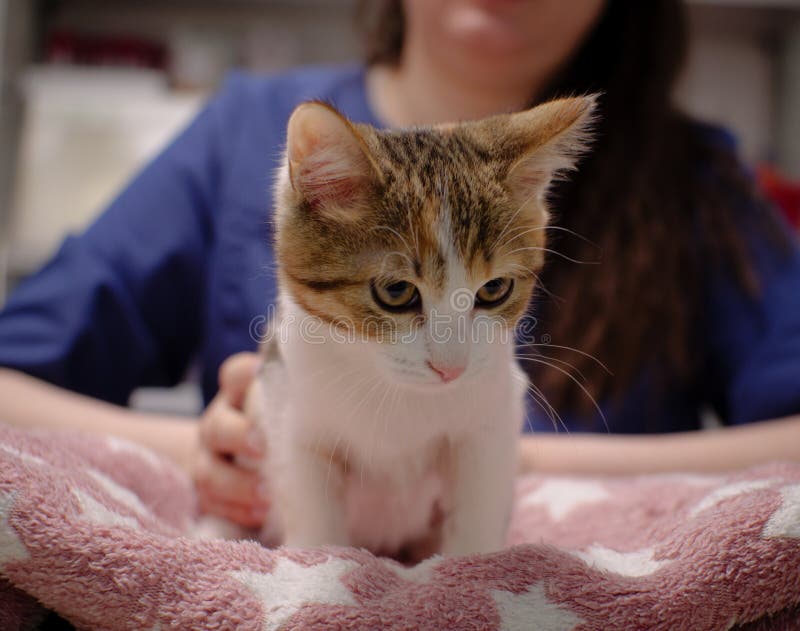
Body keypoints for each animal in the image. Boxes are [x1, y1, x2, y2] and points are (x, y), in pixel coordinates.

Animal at [247, 96, 596, 560]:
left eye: (494, 289)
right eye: (396, 291)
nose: (452, 369)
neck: (398, 394)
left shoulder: (492, 420)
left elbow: (479, 505)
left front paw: (469, 565)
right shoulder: (291, 414)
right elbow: (312, 507)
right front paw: (315, 561)